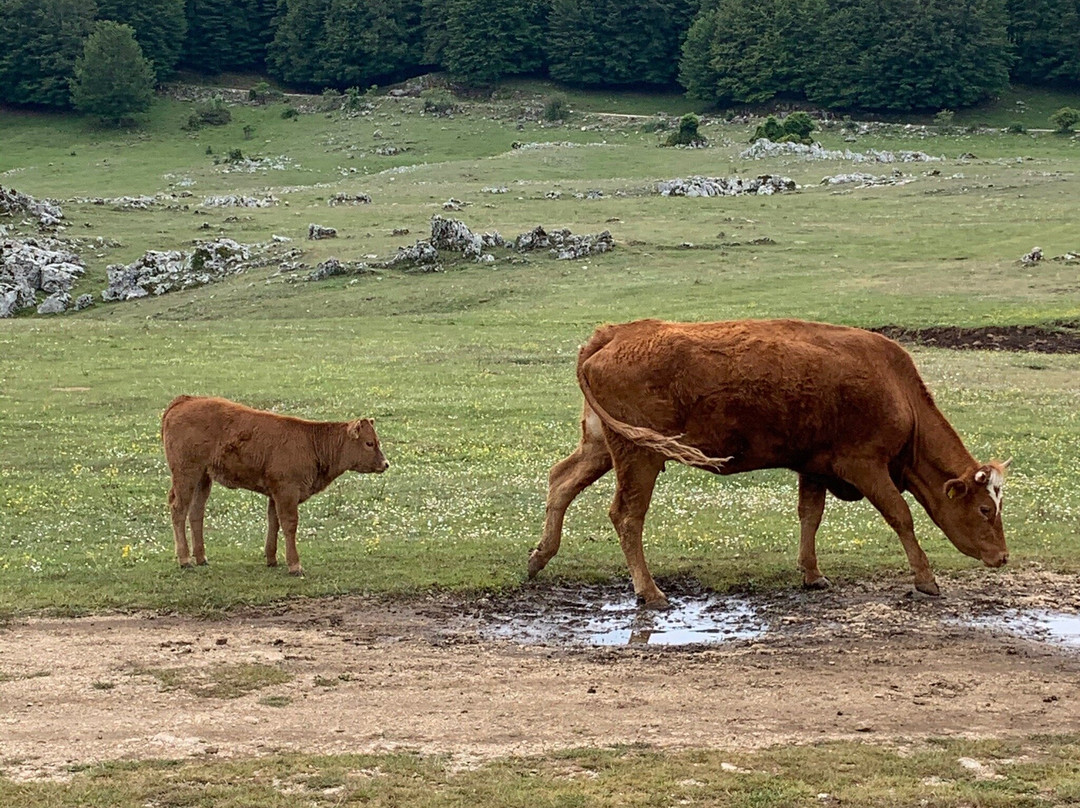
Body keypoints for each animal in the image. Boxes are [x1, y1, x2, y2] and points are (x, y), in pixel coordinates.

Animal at [159, 395, 388, 574]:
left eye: (378, 441)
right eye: (369, 443)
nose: (386, 464)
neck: (312, 443)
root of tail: (186, 400)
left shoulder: (275, 493)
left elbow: (274, 522)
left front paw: (271, 559)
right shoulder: (287, 492)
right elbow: (289, 524)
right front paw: (295, 565)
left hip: (203, 478)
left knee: (196, 512)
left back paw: (201, 558)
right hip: (186, 474)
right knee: (178, 509)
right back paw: (185, 560)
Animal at [531, 319, 1010, 609]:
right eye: (985, 509)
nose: (1003, 556)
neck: (897, 389)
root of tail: (614, 333)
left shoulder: (815, 467)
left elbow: (810, 517)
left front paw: (812, 574)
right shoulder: (865, 466)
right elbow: (902, 517)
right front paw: (926, 579)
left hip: (600, 448)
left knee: (560, 481)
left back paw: (540, 556)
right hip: (640, 456)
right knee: (627, 516)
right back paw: (650, 592)